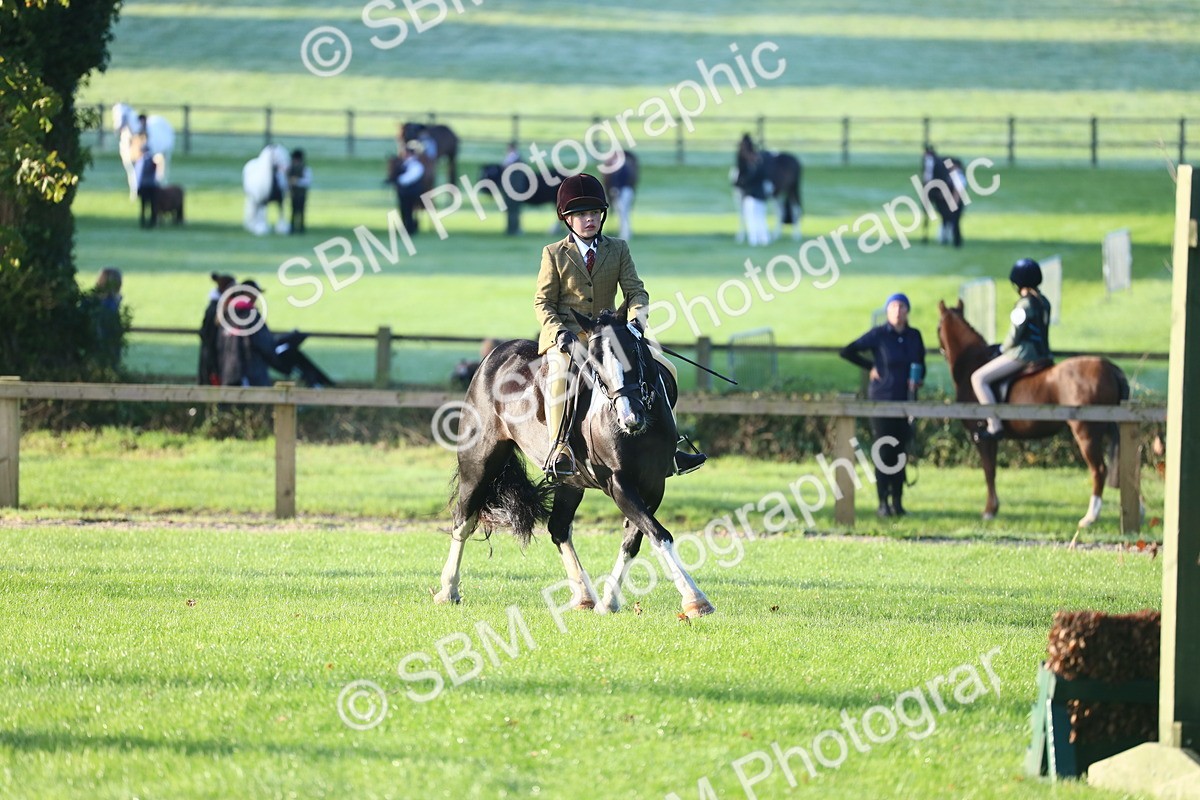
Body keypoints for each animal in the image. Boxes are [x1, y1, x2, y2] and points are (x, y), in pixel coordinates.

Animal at [434, 302, 714, 618]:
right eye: (595, 362)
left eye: (633, 351)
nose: (629, 419)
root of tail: (497, 354)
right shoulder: (618, 484)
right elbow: (658, 532)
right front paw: (695, 599)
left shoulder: (654, 485)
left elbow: (637, 539)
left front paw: (609, 601)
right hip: (478, 464)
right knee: (463, 519)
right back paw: (448, 590)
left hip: (570, 482)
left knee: (558, 528)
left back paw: (584, 596)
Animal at [936, 299, 1130, 528]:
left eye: (938, 328)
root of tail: (1110, 367)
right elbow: (992, 470)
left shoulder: (982, 437)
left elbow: (989, 471)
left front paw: (990, 511)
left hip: (1087, 433)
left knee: (1099, 470)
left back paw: (1089, 518)